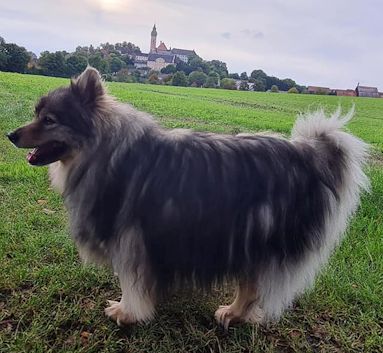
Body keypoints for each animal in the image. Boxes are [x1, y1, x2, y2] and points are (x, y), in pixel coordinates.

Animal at [7, 66, 370, 328]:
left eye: (49, 120)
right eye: (36, 114)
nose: (10, 134)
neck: (104, 150)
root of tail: (307, 156)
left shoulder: (131, 238)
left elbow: (130, 283)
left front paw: (126, 312)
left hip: (256, 237)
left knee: (251, 286)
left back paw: (233, 313)